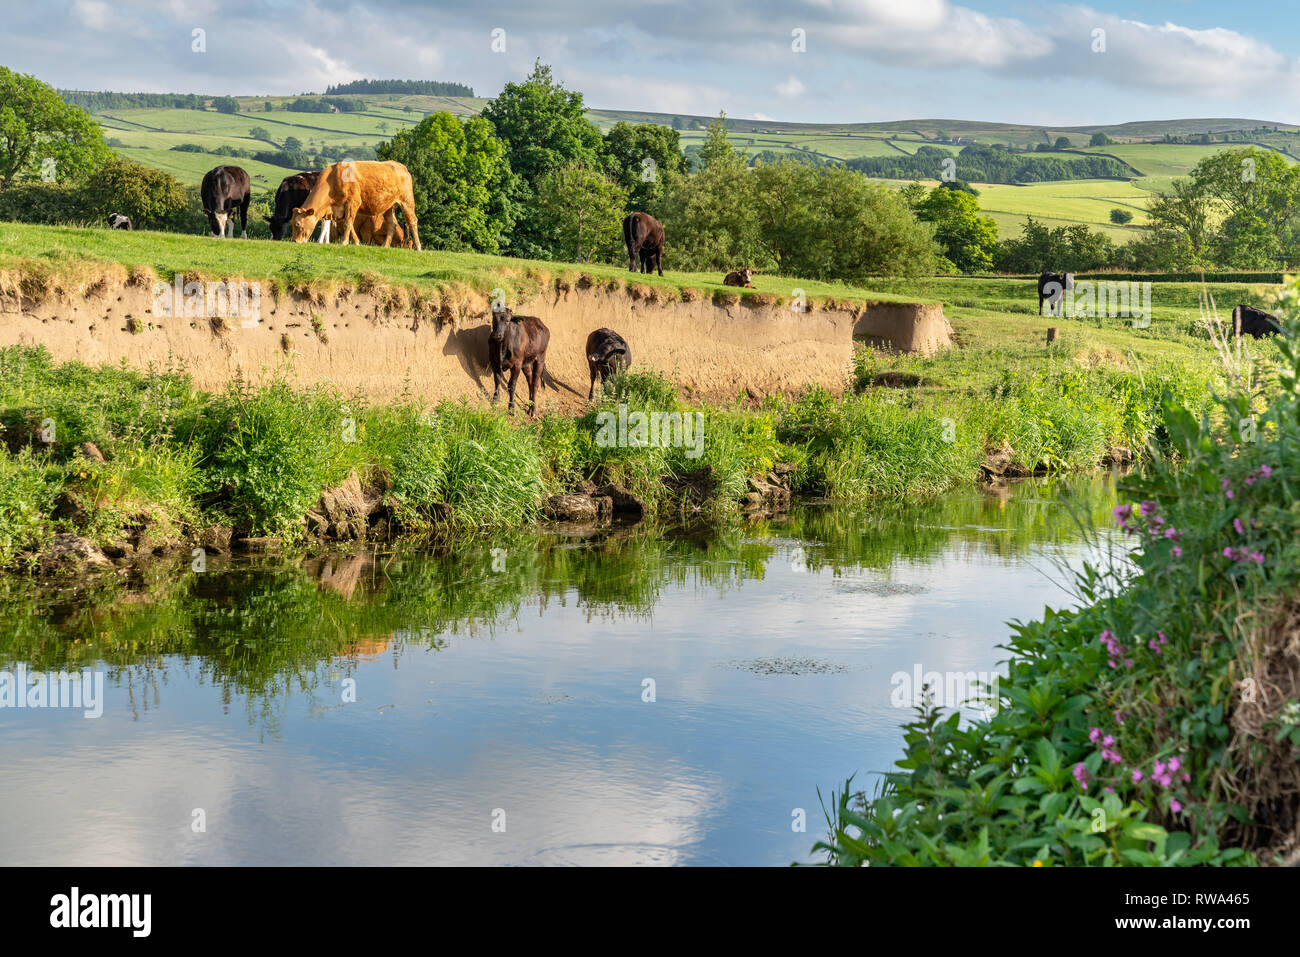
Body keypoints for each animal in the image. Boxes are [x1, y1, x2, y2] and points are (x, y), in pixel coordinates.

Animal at [291, 160, 421, 250]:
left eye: (298, 224)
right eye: (292, 223)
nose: (295, 241)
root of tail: (400, 165)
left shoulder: (352, 203)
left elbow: (348, 224)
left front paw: (343, 242)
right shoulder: (341, 210)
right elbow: (350, 225)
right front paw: (357, 242)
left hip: (407, 201)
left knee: (412, 221)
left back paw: (418, 247)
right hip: (389, 206)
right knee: (391, 225)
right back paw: (385, 245)